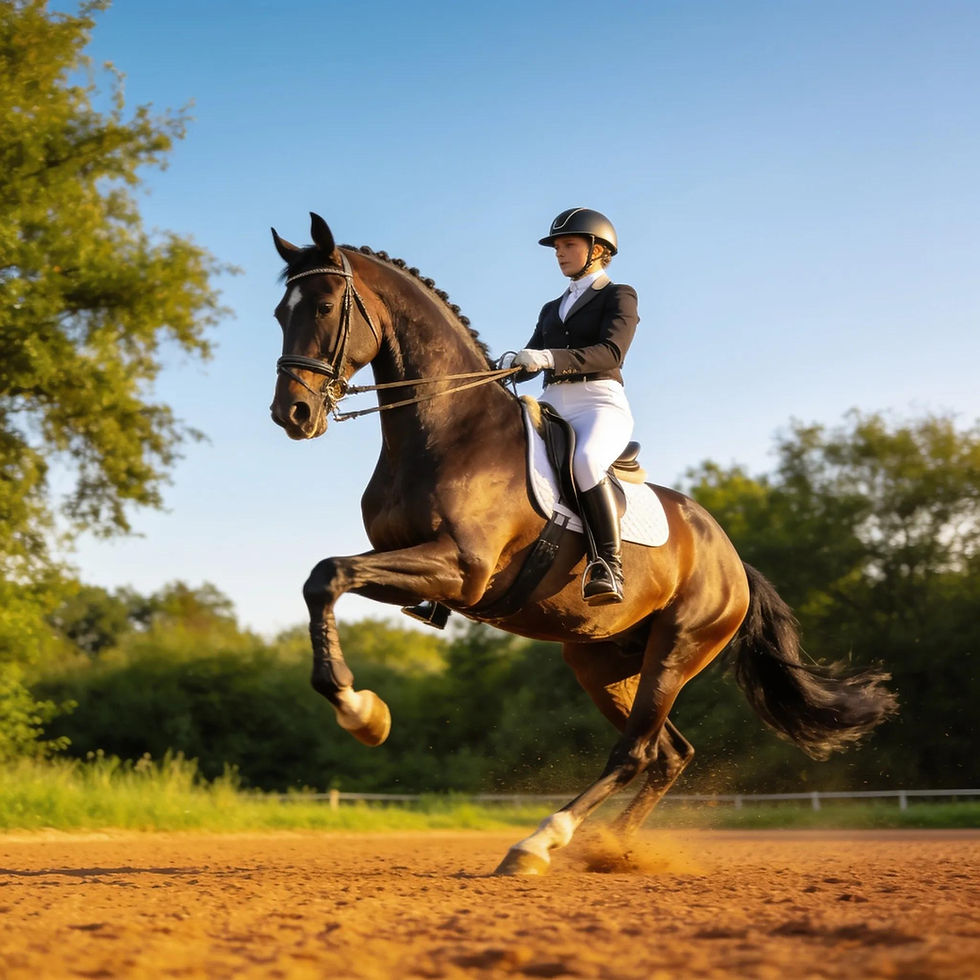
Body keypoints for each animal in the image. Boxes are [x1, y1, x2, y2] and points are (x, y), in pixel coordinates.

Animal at [269, 212, 897, 875]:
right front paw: (362, 710)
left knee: (635, 752)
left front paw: (357, 711)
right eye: (281, 313)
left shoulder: (459, 569)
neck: (445, 428)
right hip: (600, 659)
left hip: (677, 650)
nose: (293, 414)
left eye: (326, 305)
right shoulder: (413, 572)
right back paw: (611, 848)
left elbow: (328, 574)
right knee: (667, 752)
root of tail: (732, 562)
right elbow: (325, 578)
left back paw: (541, 841)